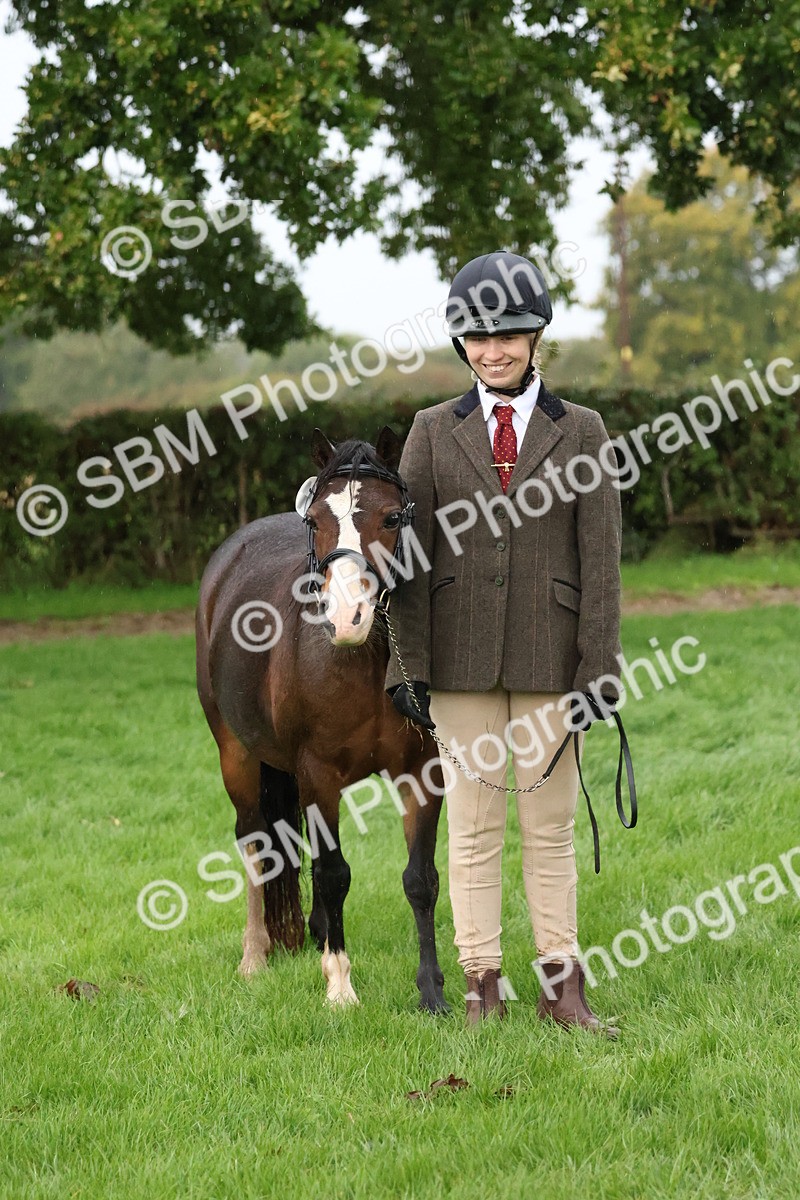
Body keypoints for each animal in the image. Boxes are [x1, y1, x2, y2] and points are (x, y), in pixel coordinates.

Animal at [195, 426, 448, 1012]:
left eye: (392, 517)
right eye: (314, 520)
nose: (346, 617)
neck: (367, 660)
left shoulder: (422, 773)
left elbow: (420, 878)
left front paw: (432, 991)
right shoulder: (318, 774)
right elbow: (333, 873)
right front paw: (340, 986)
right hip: (237, 757)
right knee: (255, 844)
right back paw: (255, 955)